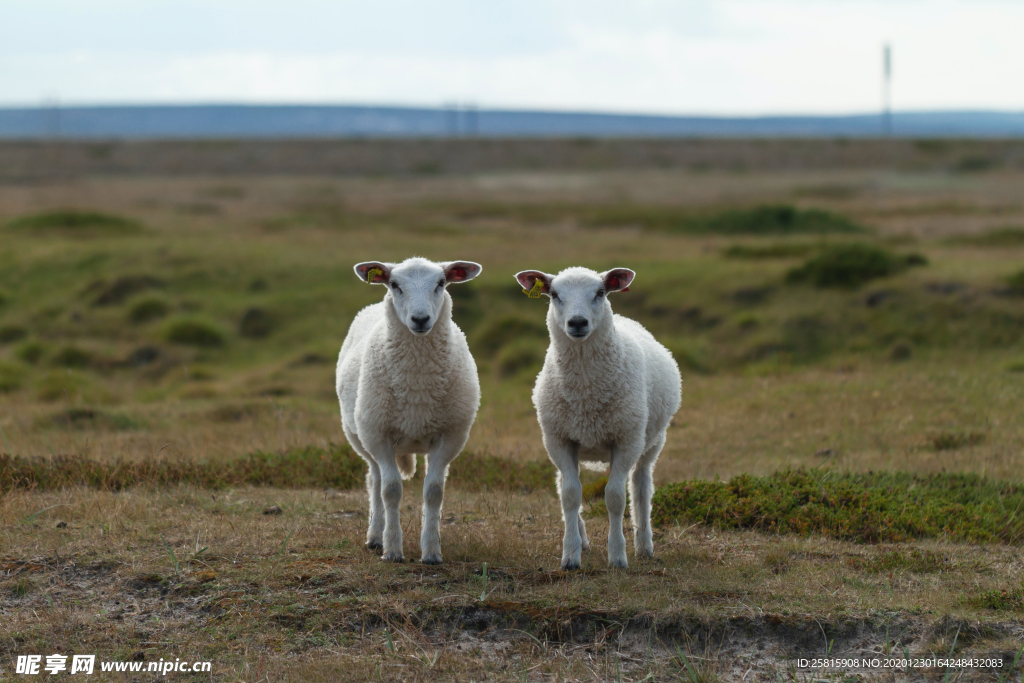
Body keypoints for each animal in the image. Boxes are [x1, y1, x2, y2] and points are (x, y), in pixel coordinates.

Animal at [333, 259, 481, 565]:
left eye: (441, 283)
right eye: (394, 285)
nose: (421, 319)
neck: (417, 385)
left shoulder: (450, 436)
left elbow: (434, 491)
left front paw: (432, 551)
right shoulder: (378, 435)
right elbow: (390, 491)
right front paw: (392, 549)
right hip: (361, 436)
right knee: (375, 480)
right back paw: (375, 536)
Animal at [516, 266, 684, 573]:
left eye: (600, 292)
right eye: (554, 294)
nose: (577, 322)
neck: (586, 392)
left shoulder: (626, 440)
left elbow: (615, 498)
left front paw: (617, 556)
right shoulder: (559, 440)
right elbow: (570, 495)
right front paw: (570, 555)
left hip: (652, 440)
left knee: (641, 486)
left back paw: (644, 545)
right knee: (563, 484)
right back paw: (582, 539)